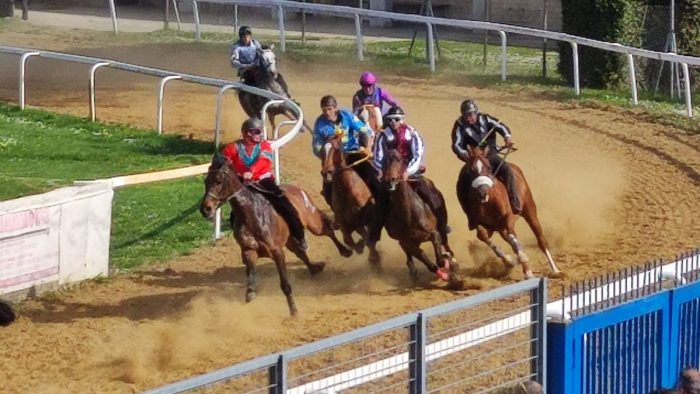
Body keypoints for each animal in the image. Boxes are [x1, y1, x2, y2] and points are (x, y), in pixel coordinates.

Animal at [201, 152, 356, 316]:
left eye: (218, 180)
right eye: (205, 181)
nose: (205, 209)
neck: (250, 215)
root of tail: (298, 190)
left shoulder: (276, 252)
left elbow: (285, 285)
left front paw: (294, 310)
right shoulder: (249, 251)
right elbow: (251, 272)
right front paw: (250, 292)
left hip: (313, 223)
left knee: (328, 231)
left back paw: (345, 251)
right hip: (289, 240)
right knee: (300, 252)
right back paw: (315, 268)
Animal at [322, 134, 382, 266]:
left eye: (336, 148)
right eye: (323, 150)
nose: (326, 171)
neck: (347, 190)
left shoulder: (369, 219)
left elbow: (370, 238)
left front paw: (374, 257)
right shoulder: (344, 222)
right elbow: (348, 240)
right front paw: (358, 248)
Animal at [454, 146, 564, 278]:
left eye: (489, 167)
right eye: (471, 170)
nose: (483, 192)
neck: (489, 202)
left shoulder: (508, 220)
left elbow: (514, 239)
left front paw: (526, 268)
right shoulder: (482, 225)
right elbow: (483, 235)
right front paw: (509, 260)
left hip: (529, 211)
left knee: (540, 240)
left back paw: (555, 270)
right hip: (500, 228)